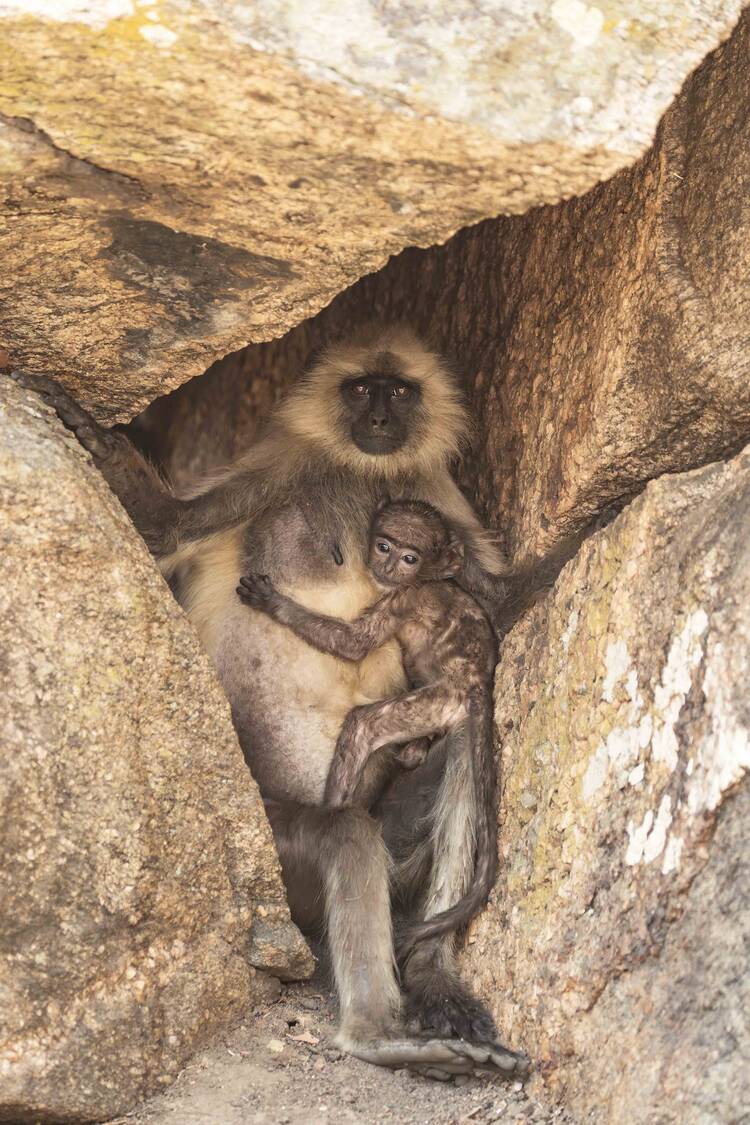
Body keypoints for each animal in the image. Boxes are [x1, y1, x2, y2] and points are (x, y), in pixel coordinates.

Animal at [237, 499, 498, 959]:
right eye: (383, 545)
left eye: (410, 557)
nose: (389, 564)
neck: (424, 579)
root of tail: (478, 685)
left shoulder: (402, 598)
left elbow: (354, 645)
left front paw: (274, 604)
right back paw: (415, 748)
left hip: (437, 701)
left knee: (362, 726)